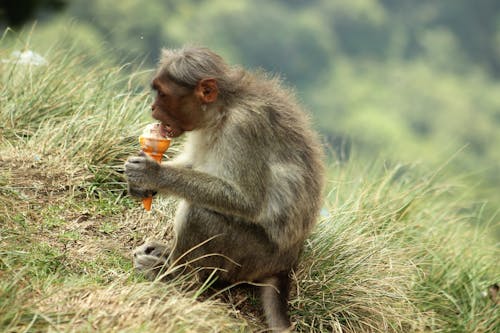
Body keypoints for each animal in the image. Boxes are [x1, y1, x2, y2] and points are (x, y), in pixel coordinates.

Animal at [125, 46, 324, 330]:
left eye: (162, 94)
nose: (153, 108)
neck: (222, 111)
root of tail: (285, 264)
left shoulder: (244, 127)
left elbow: (246, 201)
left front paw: (153, 173)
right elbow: (194, 163)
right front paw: (141, 185)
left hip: (251, 256)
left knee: (197, 214)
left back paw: (172, 274)